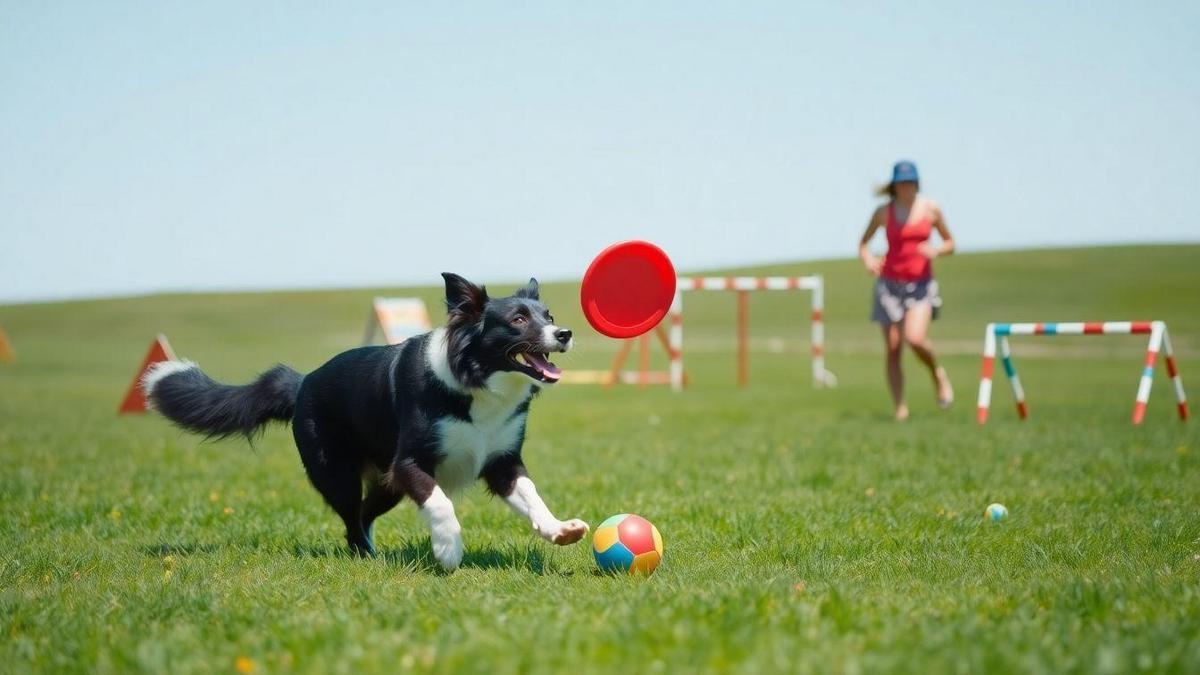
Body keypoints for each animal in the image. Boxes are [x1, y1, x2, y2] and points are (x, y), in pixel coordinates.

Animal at [144, 273, 590, 566]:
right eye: (518, 320)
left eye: (548, 316)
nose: (565, 333)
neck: (477, 383)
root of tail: (302, 382)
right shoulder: (409, 462)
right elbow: (440, 502)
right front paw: (449, 550)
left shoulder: (501, 460)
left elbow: (531, 494)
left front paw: (559, 529)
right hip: (336, 471)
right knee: (351, 518)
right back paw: (367, 557)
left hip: (386, 484)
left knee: (363, 514)